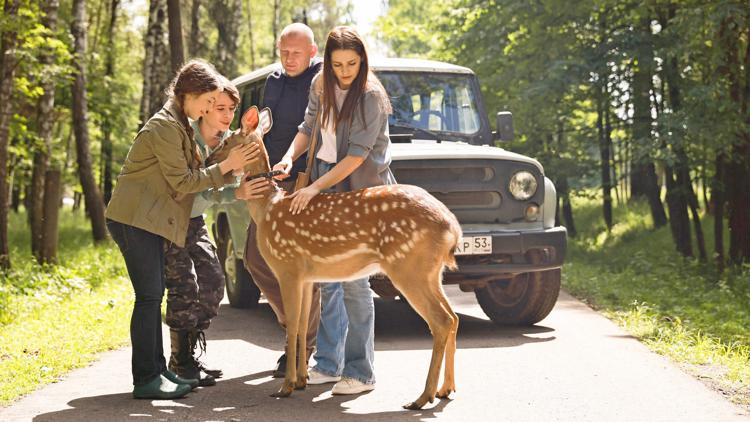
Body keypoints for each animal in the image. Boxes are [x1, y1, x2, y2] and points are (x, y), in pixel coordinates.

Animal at [209, 104, 462, 410]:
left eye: (225, 141)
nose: (208, 158)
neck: (268, 208)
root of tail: (452, 226)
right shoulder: (307, 276)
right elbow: (304, 324)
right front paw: (302, 380)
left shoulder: (287, 267)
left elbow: (291, 324)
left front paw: (286, 386)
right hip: (430, 271)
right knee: (453, 317)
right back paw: (446, 389)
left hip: (408, 266)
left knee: (441, 321)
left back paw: (421, 398)